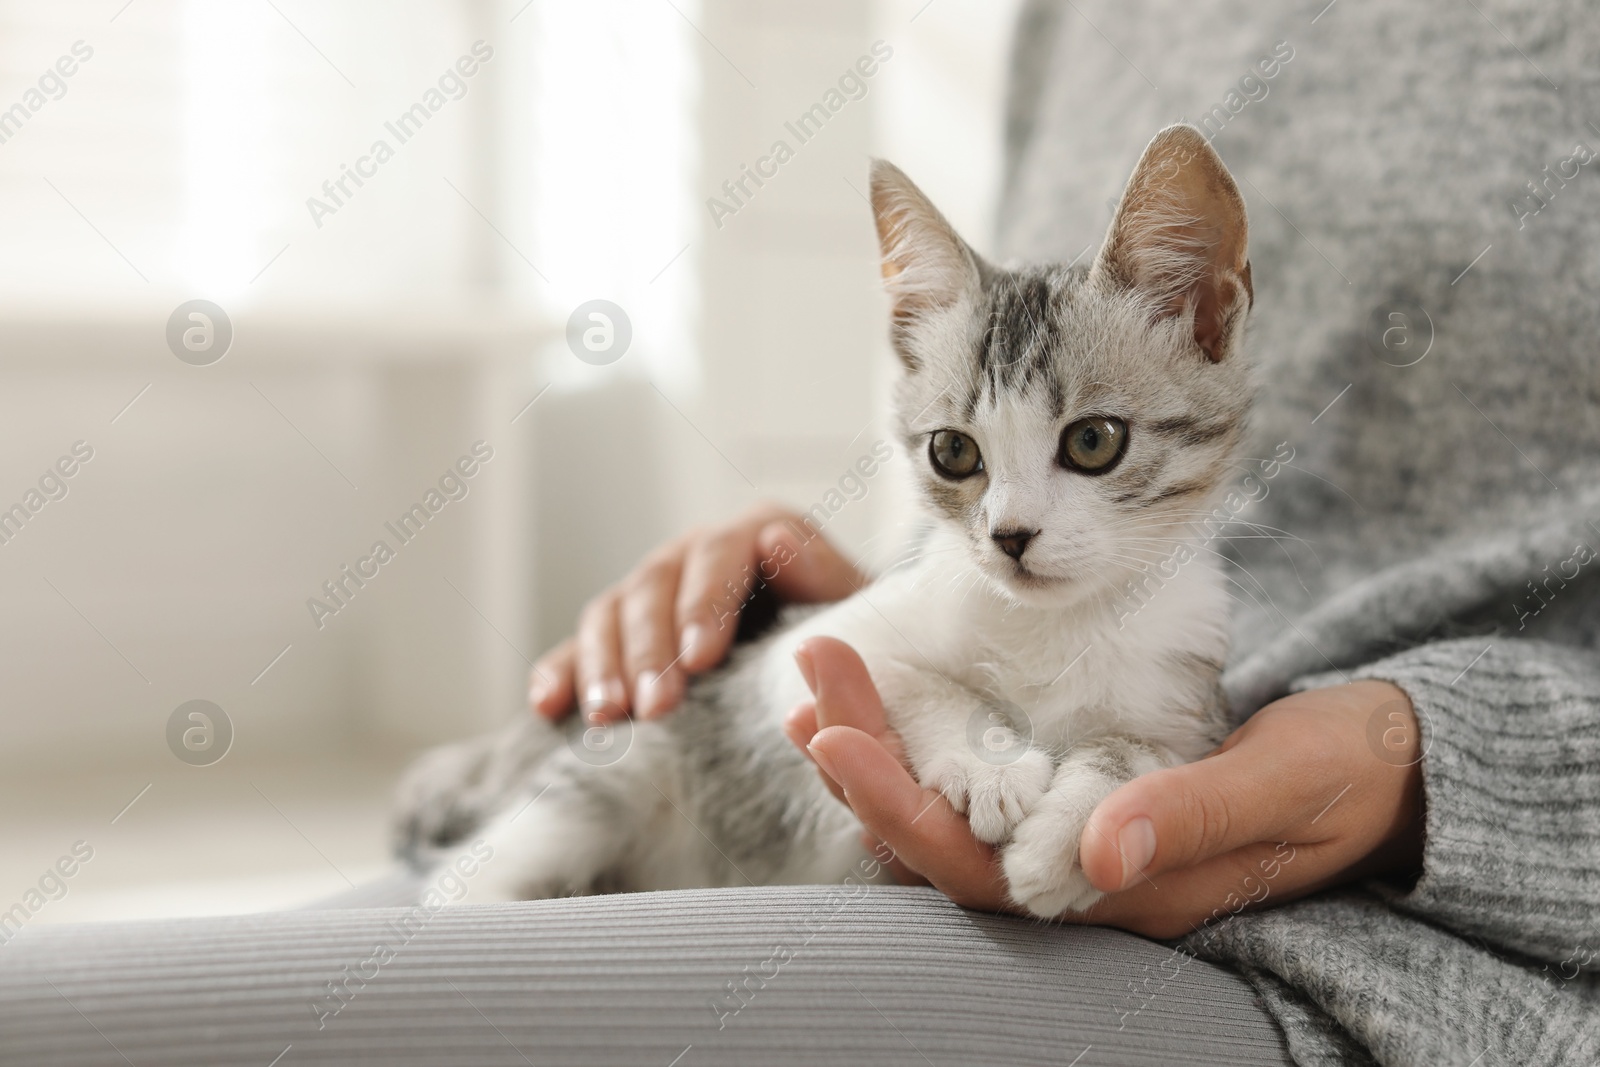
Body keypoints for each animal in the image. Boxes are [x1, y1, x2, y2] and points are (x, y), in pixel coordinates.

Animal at [396, 127, 1248, 921]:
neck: (1054, 626)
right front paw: (993, 765)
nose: (1010, 536)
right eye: (953, 451)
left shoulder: (1186, 707)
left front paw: (1066, 839)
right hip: (603, 781)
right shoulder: (803, 653)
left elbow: (1135, 752)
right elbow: (912, 677)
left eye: (1094, 441)